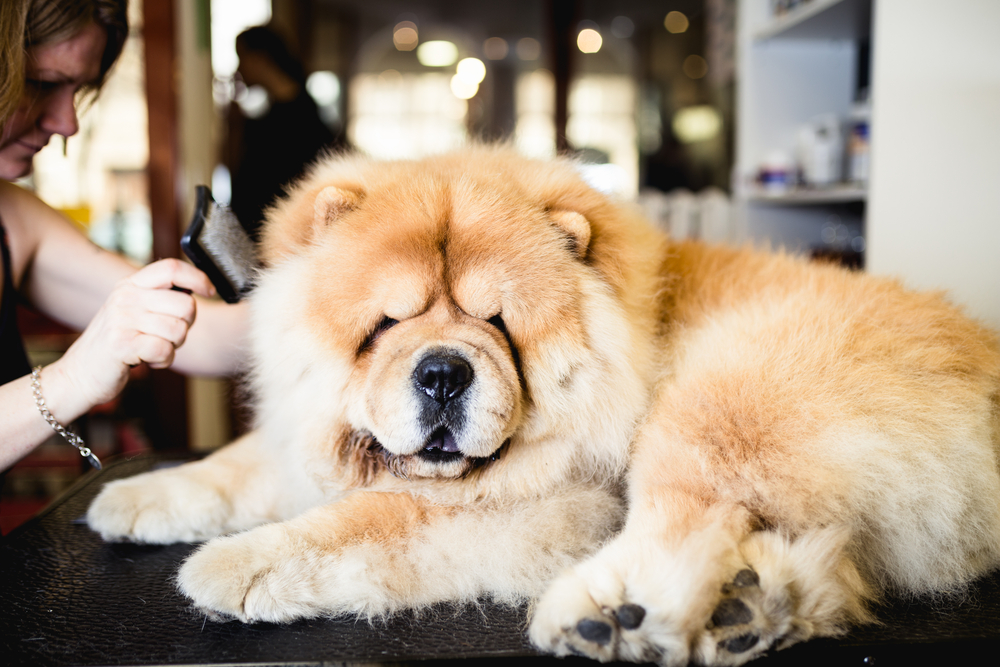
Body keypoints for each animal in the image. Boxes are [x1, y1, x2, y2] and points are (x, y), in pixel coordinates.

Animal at [88, 149, 1000, 664]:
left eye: (497, 324)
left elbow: (367, 521)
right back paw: (745, 610)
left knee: (685, 516)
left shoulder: (558, 501)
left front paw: (233, 564)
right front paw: (134, 497)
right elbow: (238, 465)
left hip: (721, 399)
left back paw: (609, 613)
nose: (443, 372)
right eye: (385, 325)